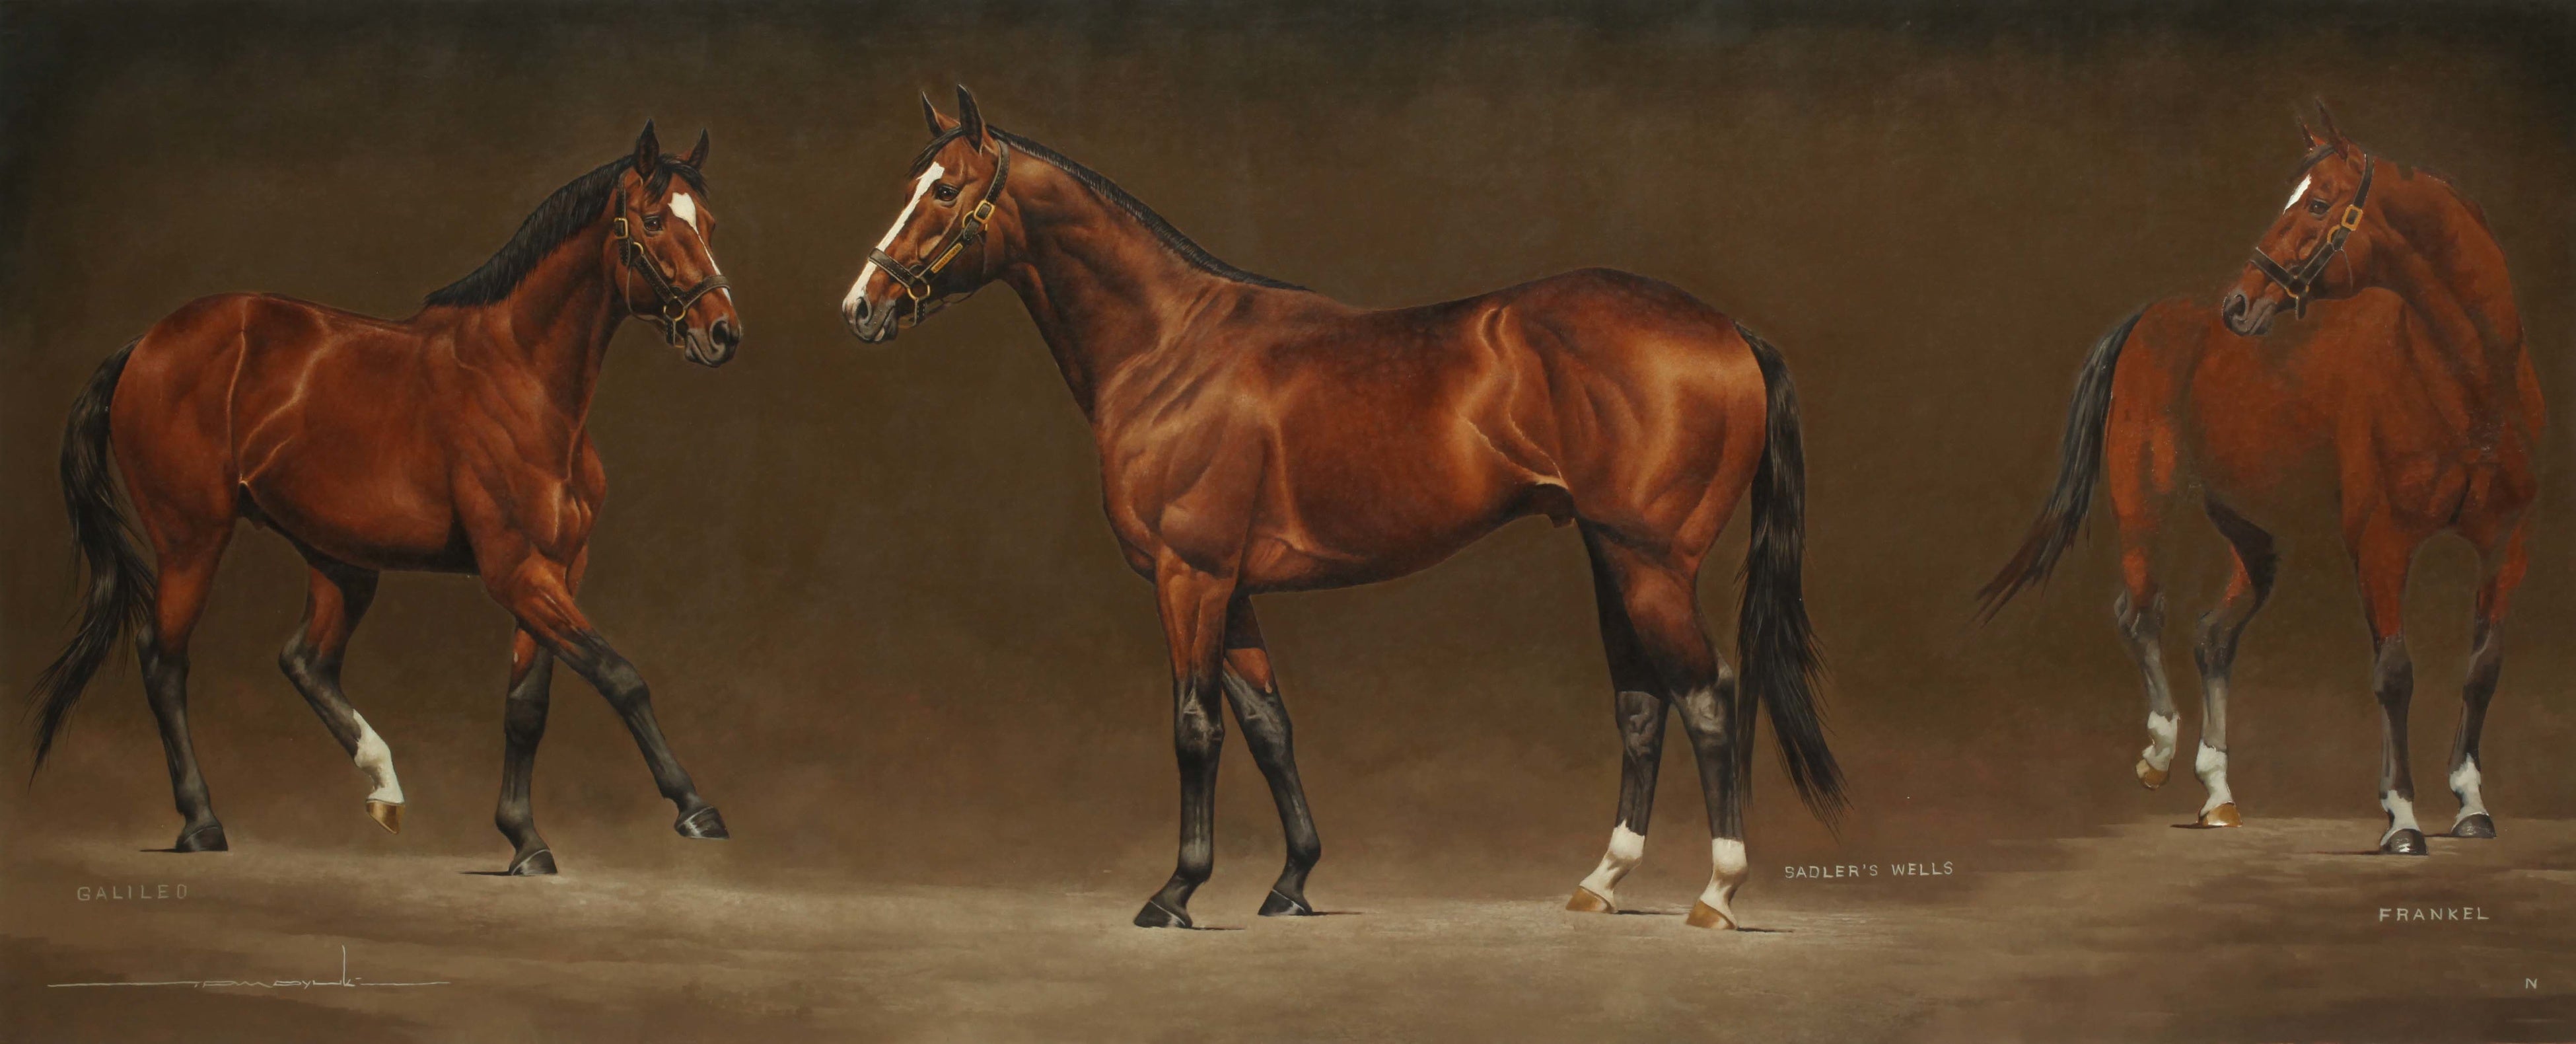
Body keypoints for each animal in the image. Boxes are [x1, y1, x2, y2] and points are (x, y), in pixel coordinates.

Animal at [30, 122, 745, 875]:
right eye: (655, 220)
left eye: (709, 223)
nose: (722, 332)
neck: (525, 379)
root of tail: (148, 343)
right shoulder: (517, 572)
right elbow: (619, 674)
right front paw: (695, 808)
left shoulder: (558, 571)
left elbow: (528, 707)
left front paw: (525, 840)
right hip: (191, 540)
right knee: (164, 661)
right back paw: (202, 822)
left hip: (342, 562)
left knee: (305, 660)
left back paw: (384, 785)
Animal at [839, 87, 1842, 929]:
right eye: (912, 184)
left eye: (945, 191)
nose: (861, 306)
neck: (1170, 348)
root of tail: (1727, 330)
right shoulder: (1234, 589)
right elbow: (1270, 728)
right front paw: (1291, 881)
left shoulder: (1189, 577)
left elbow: (1195, 728)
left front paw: (1176, 891)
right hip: (1610, 555)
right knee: (1641, 704)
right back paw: (1602, 881)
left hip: (1651, 561)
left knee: (1707, 696)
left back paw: (1717, 893)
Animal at [1981, 103, 2542, 856]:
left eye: (2318, 203)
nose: (2240, 304)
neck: (2467, 382)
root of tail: (2152, 317)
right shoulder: (2383, 542)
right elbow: (2394, 673)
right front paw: (2401, 819)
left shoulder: (2504, 544)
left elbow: (2483, 670)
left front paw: (2472, 805)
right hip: (2144, 499)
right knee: (2140, 613)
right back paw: (2158, 754)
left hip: (2250, 532)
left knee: (2214, 636)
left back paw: (2218, 795)